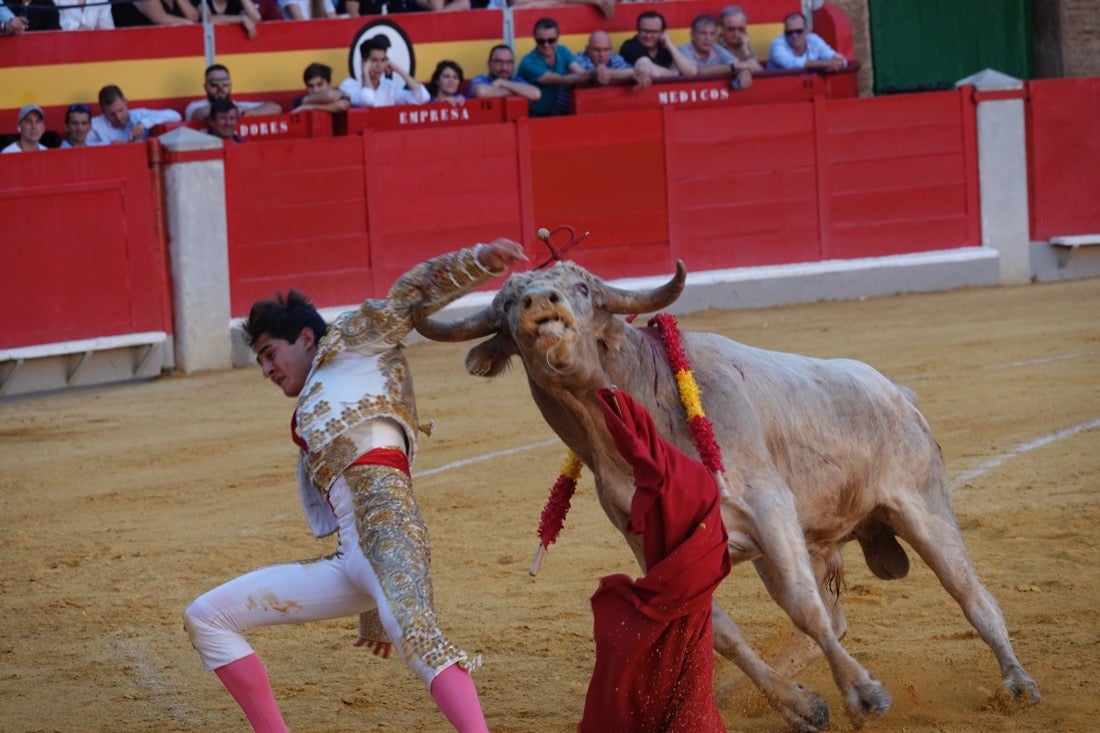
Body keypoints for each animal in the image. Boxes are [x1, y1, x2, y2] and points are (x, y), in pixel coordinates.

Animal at [413, 259, 1038, 726]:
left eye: (583, 288)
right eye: (505, 304)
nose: (542, 304)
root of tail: (897, 391)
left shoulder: (769, 508)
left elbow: (803, 607)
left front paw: (864, 694)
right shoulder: (661, 550)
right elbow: (724, 634)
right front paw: (801, 706)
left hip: (922, 505)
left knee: (972, 595)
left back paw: (1018, 684)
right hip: (809, 541)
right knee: (833, 617)